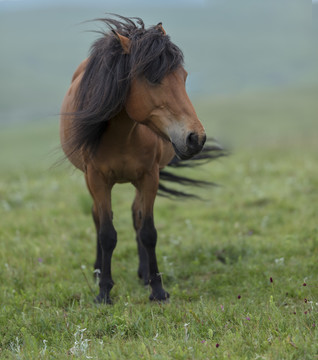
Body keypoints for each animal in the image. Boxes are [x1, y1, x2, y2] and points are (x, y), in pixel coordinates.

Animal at [59, 14, 220, 304]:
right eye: (153, 79)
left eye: (183, 76)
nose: (195, 138)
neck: (123, 135)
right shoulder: (97, 179)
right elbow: (107, 233)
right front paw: (104, 292)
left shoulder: (149, 177)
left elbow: (148, 231)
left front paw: (157, 289)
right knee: (97, 217)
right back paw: (98, 271)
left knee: (136, 215)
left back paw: (144, 274)